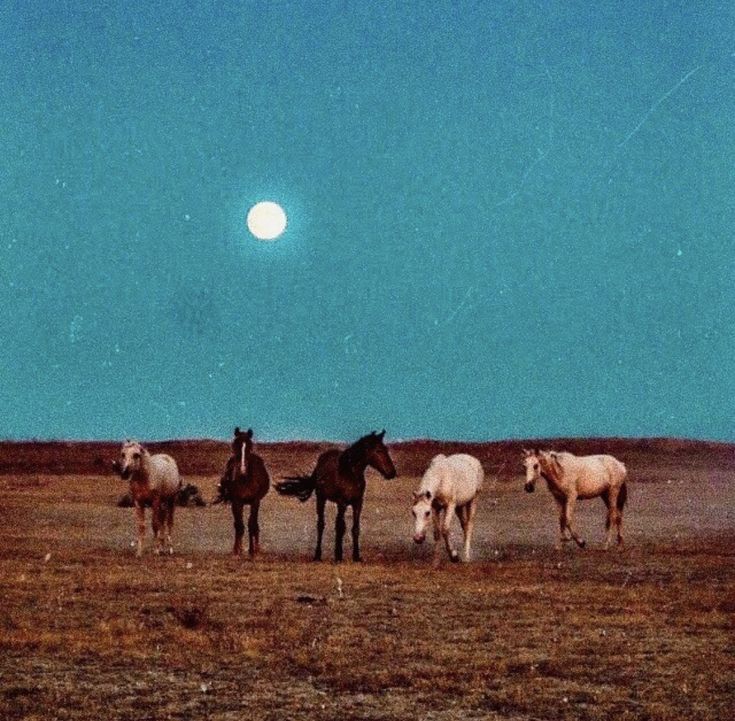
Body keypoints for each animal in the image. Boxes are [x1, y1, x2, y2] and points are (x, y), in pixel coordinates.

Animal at [218, 428, 274, 556]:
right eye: (234, 445)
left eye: (249, 446)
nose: (242, 470)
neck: (245, 479)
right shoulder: (236, 502)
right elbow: (239, 525)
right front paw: (237, 550)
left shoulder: (255, 501)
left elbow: (251, 524)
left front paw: (252, 550)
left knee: (255, 525)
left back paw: (257, 548)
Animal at [278, 428, 396, 564]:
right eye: (378, 450)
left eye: (386, 449)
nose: (392, 473)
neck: (349, 474)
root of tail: (320, 461)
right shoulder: (342, 503)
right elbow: (340, 527)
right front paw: (338, 556)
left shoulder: (358, 503)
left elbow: (355, 528)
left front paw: (356, 557)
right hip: (321, 499)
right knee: (321, 525)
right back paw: (317, 556)